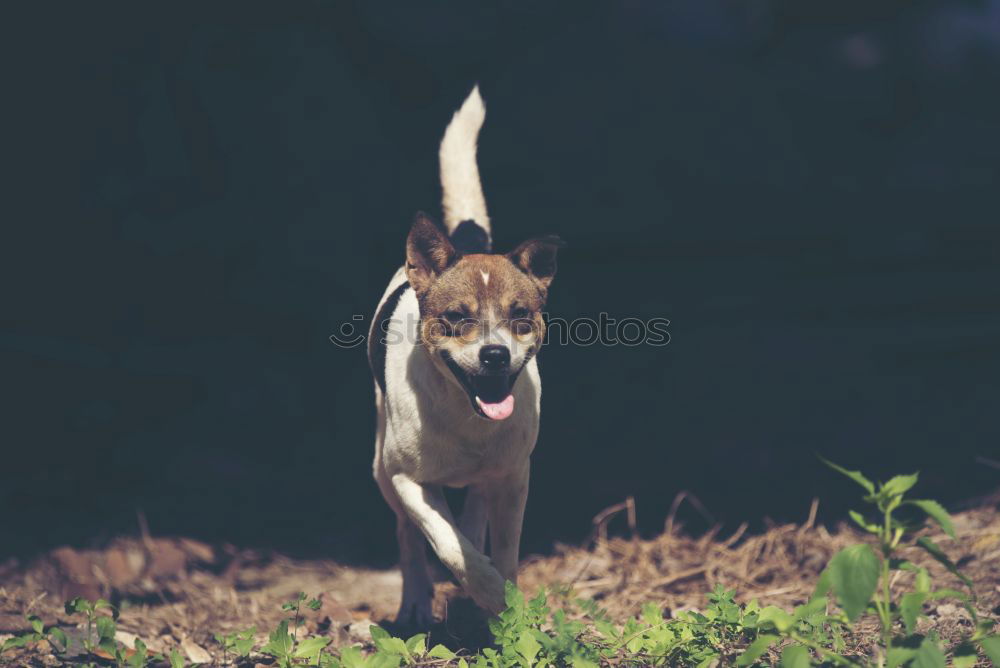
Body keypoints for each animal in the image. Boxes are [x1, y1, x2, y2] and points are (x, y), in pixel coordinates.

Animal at [368, 87, 564, 628]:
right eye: (456, 317)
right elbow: (447, 546)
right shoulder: (407, 480)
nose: (494, 355)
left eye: (521, 316)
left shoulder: (514, 478)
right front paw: (488, 592)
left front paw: (505, 603)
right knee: (410, 539)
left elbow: (505, 551)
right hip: (381, 471)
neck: (466, 413)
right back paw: (416, 602)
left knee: (474, 509)